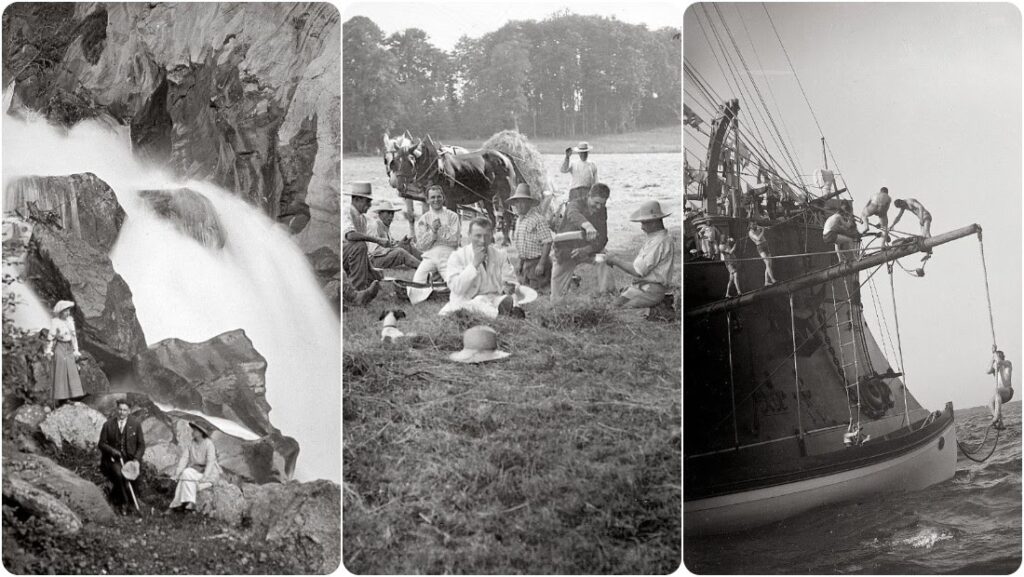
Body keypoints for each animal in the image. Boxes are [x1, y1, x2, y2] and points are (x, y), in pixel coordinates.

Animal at [382, 132, 520, 244]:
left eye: (410, 162)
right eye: (392, 161)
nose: (397, 183)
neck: (435, 168)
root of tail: (504, 156)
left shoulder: (450, 200)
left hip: (505, 192)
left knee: (507, 214)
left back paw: (506, 240)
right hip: (487, 196)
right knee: (493, 217)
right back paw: (491, 239)